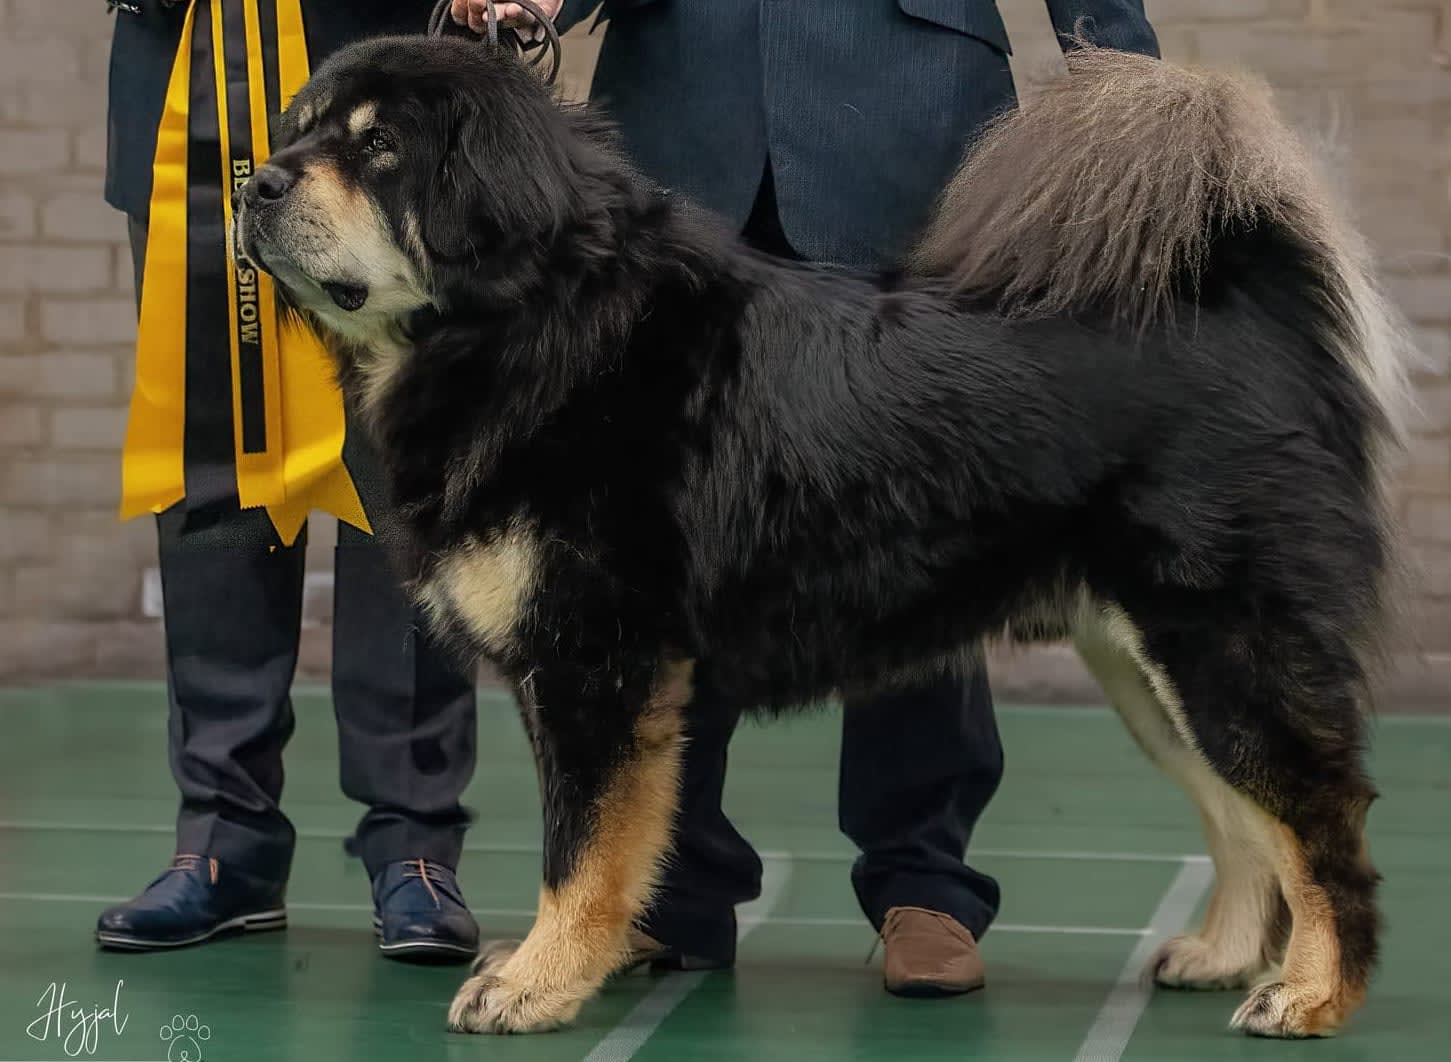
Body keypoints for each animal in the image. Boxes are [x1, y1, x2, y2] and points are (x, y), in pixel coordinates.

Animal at [235, 37, 1404, 1038]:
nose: (253, 183)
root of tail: (1246, 309)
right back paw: (1224, 955)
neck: (530, 326)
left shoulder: (596, 664)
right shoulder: (595, 676)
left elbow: (581, 849)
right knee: (1242, 815)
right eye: (300, 130)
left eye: (379, 148)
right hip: (1145, 668)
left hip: (1220, 645)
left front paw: (535, 986)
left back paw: (1310, 997)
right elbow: (623, 843)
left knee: (1319, 818)